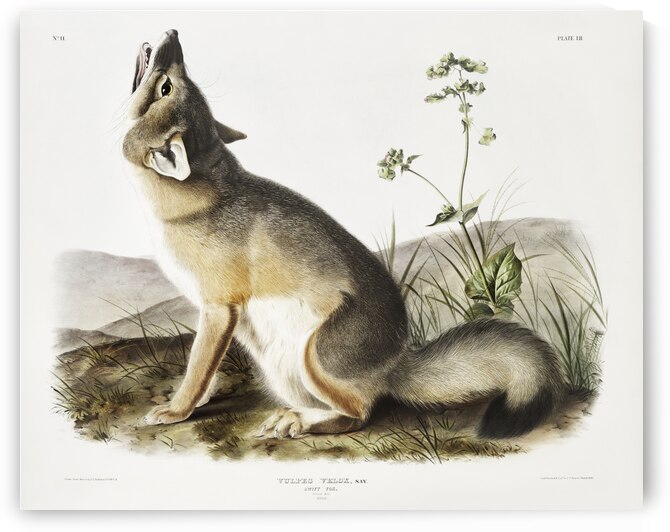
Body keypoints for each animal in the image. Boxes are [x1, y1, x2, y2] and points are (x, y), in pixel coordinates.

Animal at [122, 29, 564, 440]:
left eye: (168, 86)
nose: (174, 34)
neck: (203, 194)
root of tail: (395, 363)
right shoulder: (219, 316)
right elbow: (206, 371)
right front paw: (196, 400)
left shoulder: (218, 309)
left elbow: (198, 368)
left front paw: (176, 410)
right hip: (280, 366)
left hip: (315, 356)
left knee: (359, 413)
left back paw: (297, 421)